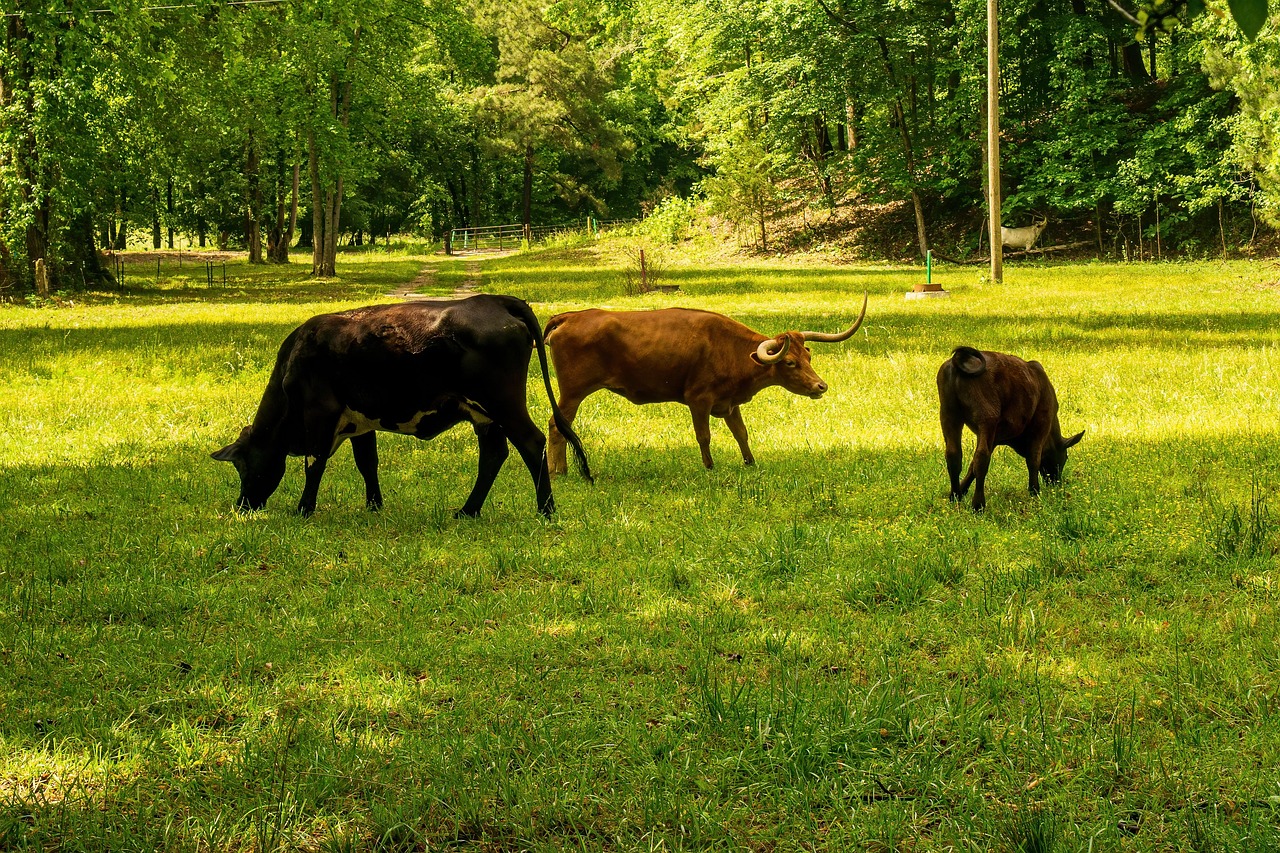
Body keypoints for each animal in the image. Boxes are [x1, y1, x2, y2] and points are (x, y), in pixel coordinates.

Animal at [211, 295, 591, 519]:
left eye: (242, 466)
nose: (242, 506)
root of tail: (493, 300)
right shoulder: (359, 421)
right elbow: (367, 464)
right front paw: (374, 506)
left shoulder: (321, 412)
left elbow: (314, 464)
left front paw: (304, 509)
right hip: (484, 414)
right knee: (493, 456)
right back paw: (468, 511)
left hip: (503, 403)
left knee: (531, 443)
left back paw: (546, 510)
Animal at [543, 292, 868, 473]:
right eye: (789, 362)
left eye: (809, 356)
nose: (820, 386)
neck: (730, 348)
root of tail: (570, 316)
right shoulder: (698, 400)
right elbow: (704, 436)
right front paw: (709, 467)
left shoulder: (730, 403)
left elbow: (741, 434)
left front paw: (750, 462)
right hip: (572, 392)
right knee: (556, 425)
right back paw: (558, 471)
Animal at [937, 346, 1083, 512]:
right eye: (1065, 457)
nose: (1056, 482)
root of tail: (961, 358)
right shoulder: (1041, 424)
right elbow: (1034, 459)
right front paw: (1034, 492)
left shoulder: (994, 437)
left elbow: (971, 466)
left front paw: (962, 491)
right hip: (986, 417)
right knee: (981, 457)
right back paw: (978, 505)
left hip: (949, 414)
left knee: (954, 454)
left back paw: (954, 497)